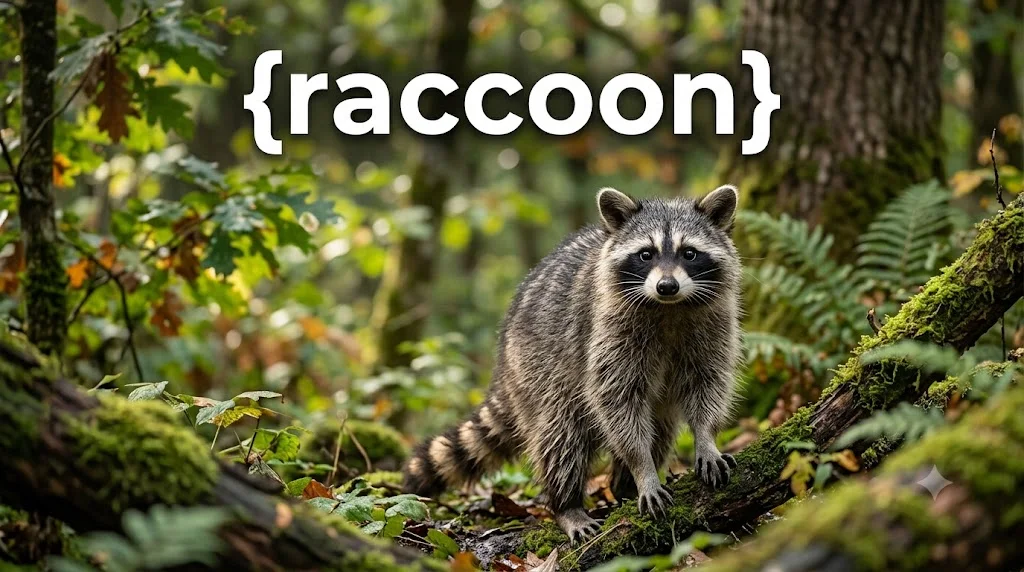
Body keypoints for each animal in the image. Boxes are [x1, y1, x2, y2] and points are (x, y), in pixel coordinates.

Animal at [404, 185, 742, 542]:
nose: (667, 286)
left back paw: (621, 486)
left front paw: (705, 438)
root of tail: (504, 365)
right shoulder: (606, 332)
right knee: (562, 435)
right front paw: (642, 468)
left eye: (689, 253)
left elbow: (709, 384)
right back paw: (567, 504)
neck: (669, 307)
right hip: (538, 370)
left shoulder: (714, 325)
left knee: (659, 429)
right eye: (645, 254)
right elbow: (616, 402)